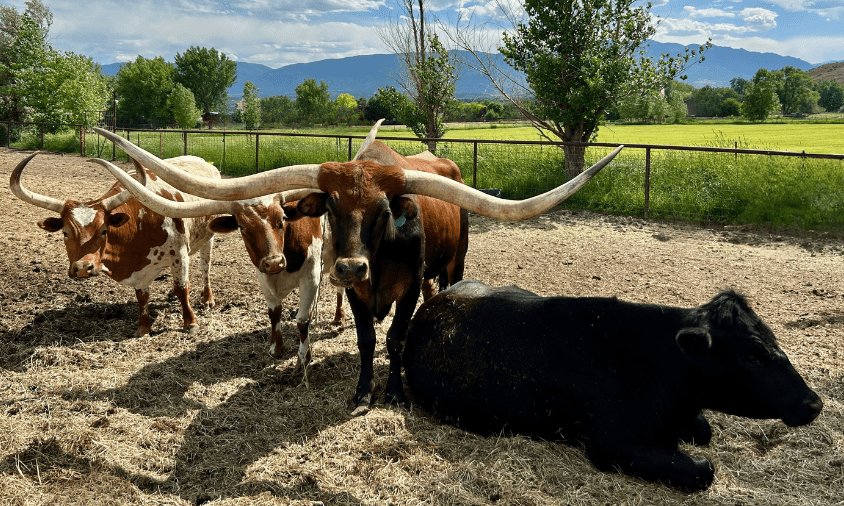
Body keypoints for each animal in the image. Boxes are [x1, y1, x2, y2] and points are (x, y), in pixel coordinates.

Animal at [9, 152, 220, 337]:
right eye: (65, 233)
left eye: (104, 230)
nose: (83, 268)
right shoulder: (139, 271)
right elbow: (142, 297)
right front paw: (143, 328)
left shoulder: (179, 255)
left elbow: (182, 289)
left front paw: (190, 324)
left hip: (208, 238)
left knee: (205, 268)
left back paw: (208, 299)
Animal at [91, 157, 343, 385]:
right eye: (242, 227)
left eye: (281, 219)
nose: (273, 262)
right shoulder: (263, 277)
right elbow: (274, 314)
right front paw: (276, 348)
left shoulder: (311, 277)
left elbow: (302, 321)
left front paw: (303, 360)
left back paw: (339, 318)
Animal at [402, 280, 824, 491]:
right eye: (752, 354)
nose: (814, 402)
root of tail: (437, 298)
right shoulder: (613, 444)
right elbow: (703, 470)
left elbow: (704, 430)